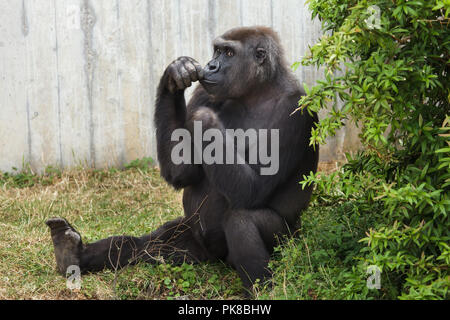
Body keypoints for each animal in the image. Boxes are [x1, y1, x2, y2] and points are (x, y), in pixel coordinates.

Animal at [45, 26, 318, 294]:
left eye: (229, 53)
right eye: (217, 51)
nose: (211, 65)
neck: (257, 91)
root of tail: (215, 259)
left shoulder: (295, 110)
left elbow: (253, 190)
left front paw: (205, 118)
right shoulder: (204, 90)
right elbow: (182, 172)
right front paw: (173, 76)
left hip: (287, 242)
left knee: (241, 221)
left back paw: (263, 291)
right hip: (192, 246)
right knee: (146, 245)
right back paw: (72, 254)